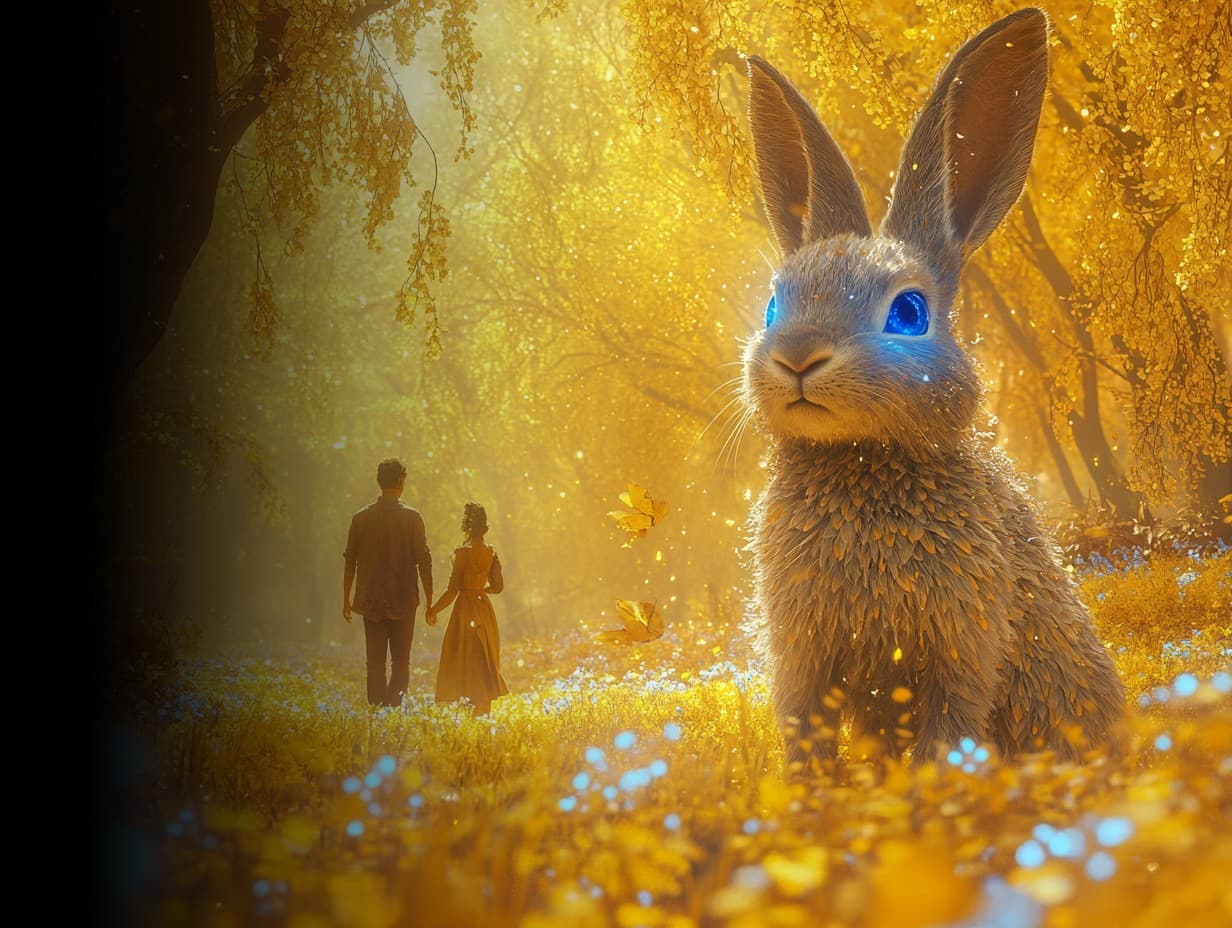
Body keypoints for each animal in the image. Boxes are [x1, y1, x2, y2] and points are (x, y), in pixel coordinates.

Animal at [740, 8, 1126, 769]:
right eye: (772, 306)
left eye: (909, 313)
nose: (797, 356)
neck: (859, 460)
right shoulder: (803, 656)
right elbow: (805, 729)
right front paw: (803, 795)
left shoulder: (965, 640)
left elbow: (950, 725)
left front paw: (931, 791)